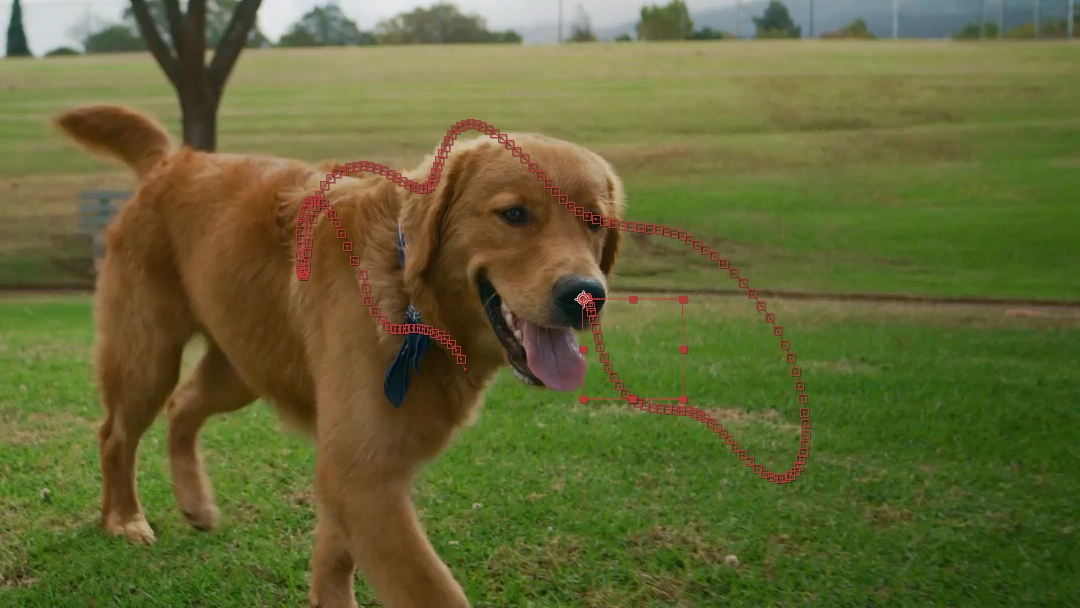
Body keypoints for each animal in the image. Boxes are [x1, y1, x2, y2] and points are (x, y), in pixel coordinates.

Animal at [54, 105, 626, 608]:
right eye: (514, 215)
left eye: (595, 223)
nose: (587, 296)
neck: (411, 297)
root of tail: (173, 161)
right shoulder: (361, 472)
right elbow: (432, 590)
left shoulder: (356, 467)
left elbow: (334, 552)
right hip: (147, 354)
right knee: (115, 435)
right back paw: (123, 518)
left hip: (243, 366)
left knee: (184, 406)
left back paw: (194, 502)